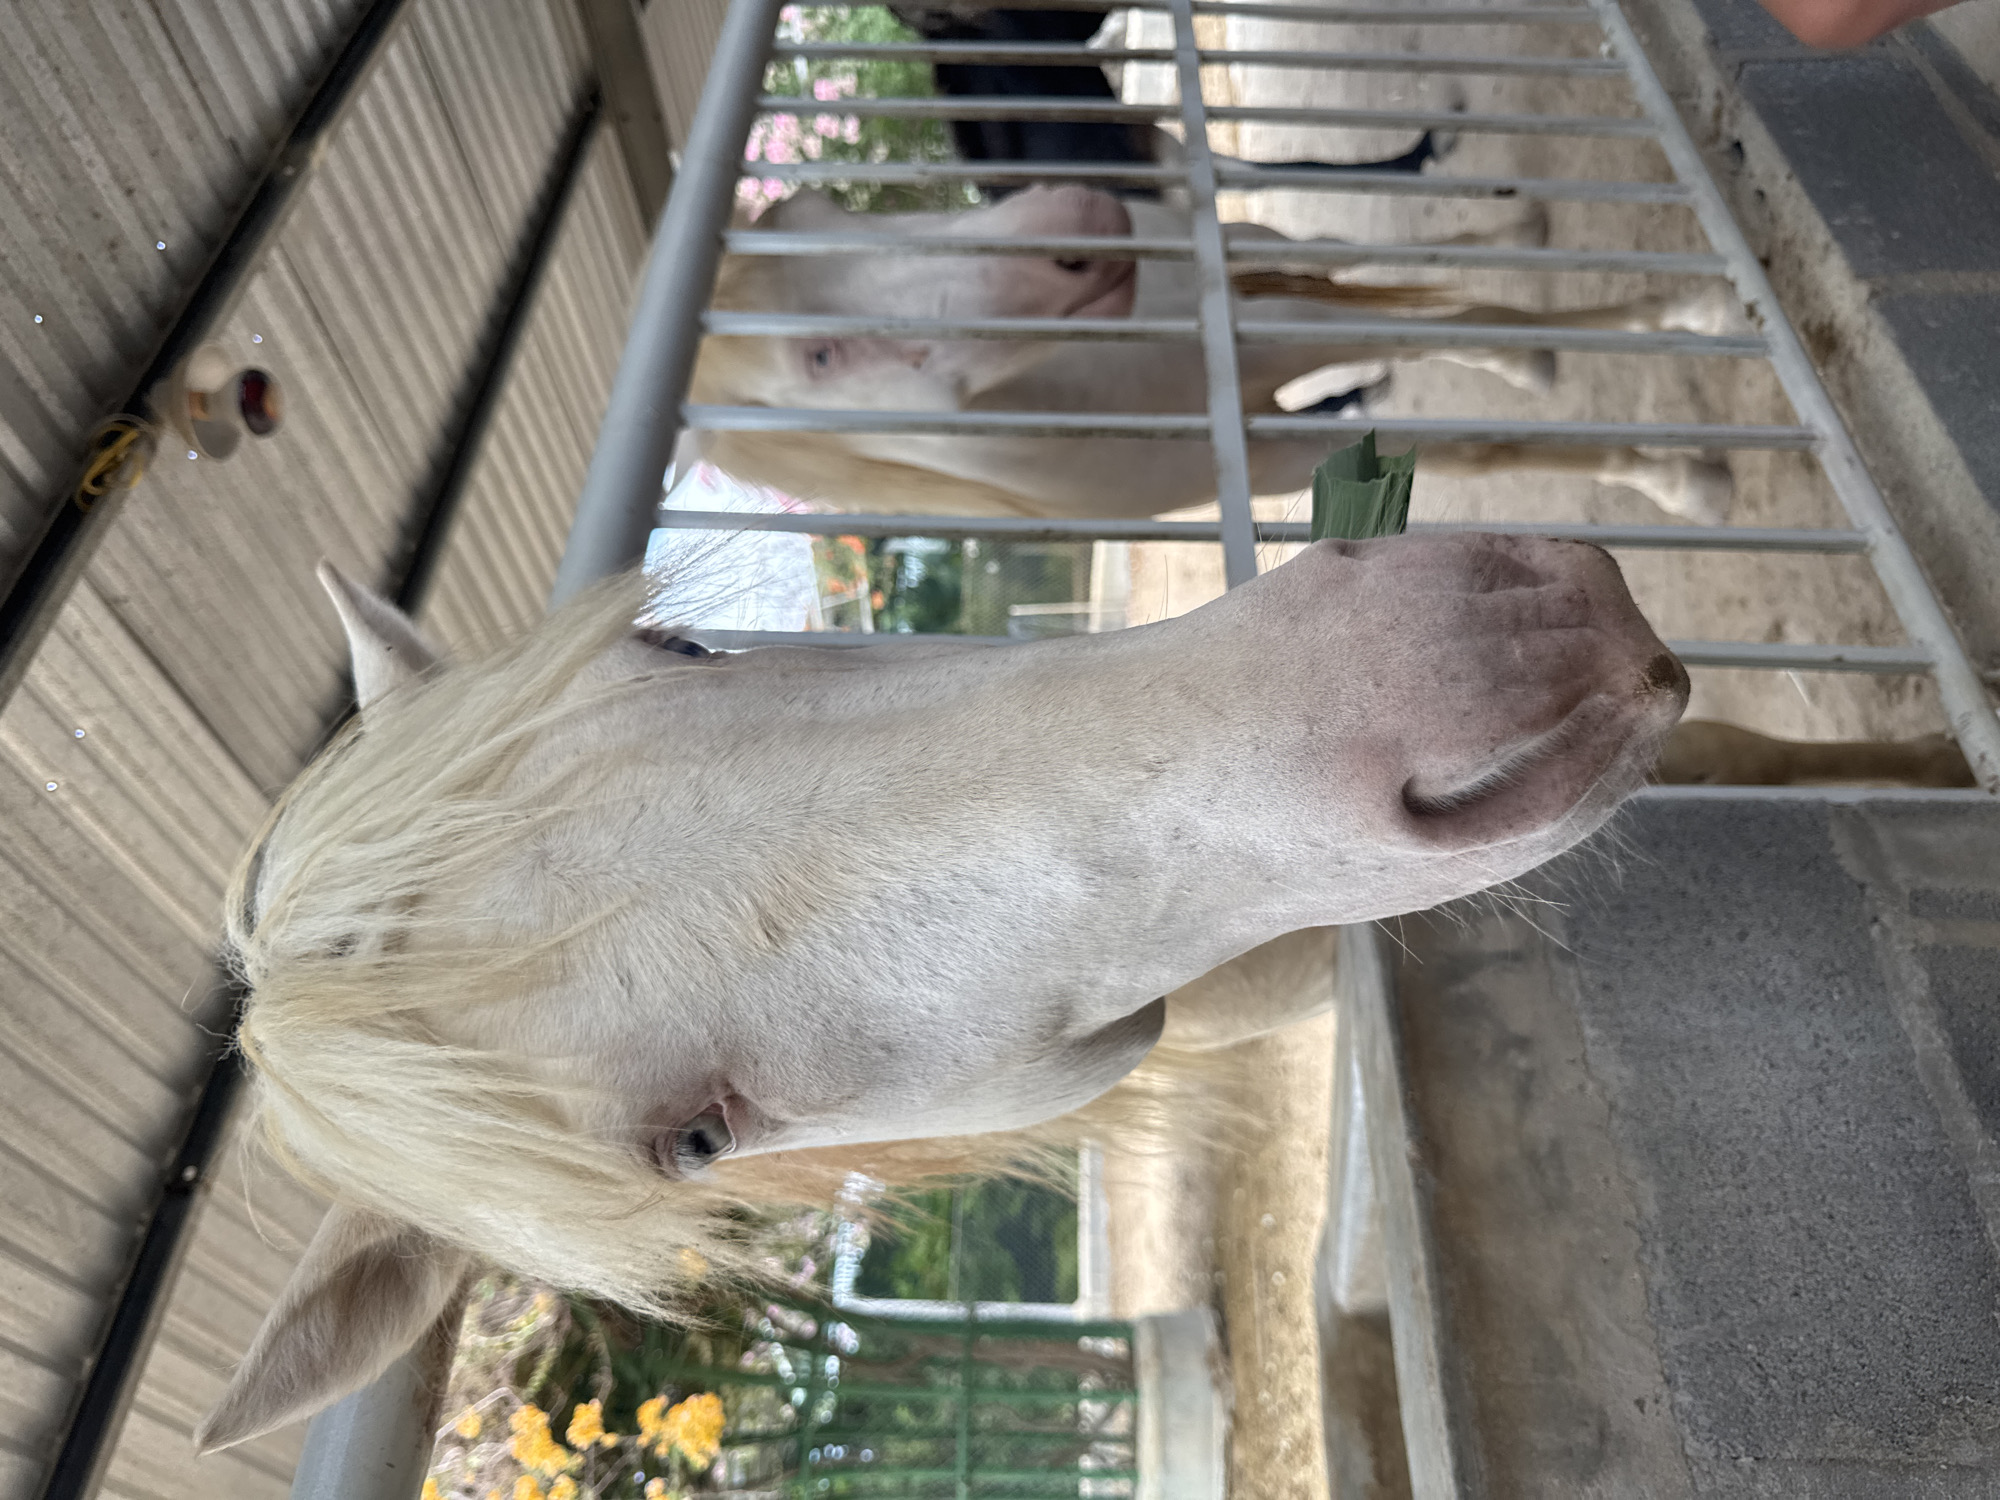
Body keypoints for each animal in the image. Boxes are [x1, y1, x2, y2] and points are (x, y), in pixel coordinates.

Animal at [692, 184, 1741, 525]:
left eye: (818, 206)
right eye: (821, 360)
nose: (1076, 227)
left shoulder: (1282, 325)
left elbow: (1476, 319)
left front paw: (1691, 309)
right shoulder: (1278, 451)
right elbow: (1485, 447)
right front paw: (1684, 480)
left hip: (1254, 263)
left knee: (1353, 261)